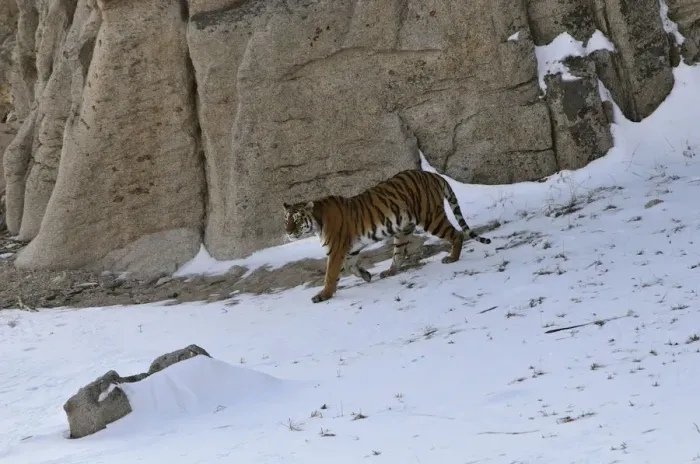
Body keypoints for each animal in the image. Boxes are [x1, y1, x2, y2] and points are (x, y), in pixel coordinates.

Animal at [283, 169, 492, 303]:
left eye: (297, 219)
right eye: (286, 219)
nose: (288, 231)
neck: (317, 222)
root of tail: (432, 174)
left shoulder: (336, 250)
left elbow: (330, 274)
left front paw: (323, 295)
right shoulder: (350, 249)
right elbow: (349, 267)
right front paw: (366, 275)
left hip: (431, 217)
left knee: (457, 234)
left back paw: (452, 258)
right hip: (403, 229)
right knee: (399, 254)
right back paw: (390, 271)